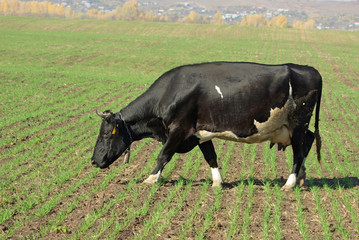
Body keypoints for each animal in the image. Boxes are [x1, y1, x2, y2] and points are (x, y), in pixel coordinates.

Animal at [91, 62, 322, 190]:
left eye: (105, 135)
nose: (93, 161)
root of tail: (309, 69)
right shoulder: (199, 133)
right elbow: (211, 157)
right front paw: (217, 182)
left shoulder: (179, 130)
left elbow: (163, 155)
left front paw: (150, 179)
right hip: (295, 127)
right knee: (308, 141)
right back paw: (302, 178)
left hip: (298, 123)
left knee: (299, 151)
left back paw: (290, 183)